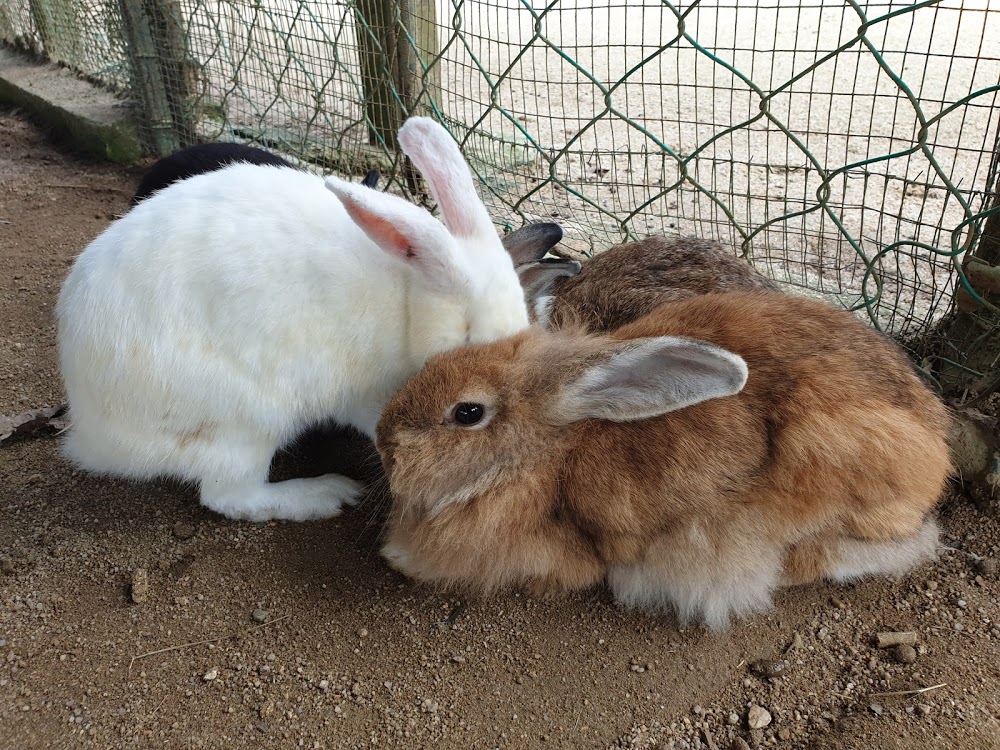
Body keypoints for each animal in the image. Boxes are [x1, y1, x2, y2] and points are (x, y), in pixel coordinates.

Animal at [56, 117, 562, 523]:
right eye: (469, 335)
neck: (407, 299)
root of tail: (94, 435)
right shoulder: (368, 395)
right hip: (248, 422)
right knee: (229, 496)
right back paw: (325, 495)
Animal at [374, 290, 953, 629]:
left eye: (468, 412)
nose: (383, 441)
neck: (551, 451)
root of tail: (936, 455)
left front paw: (398, 557)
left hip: (833, 457)